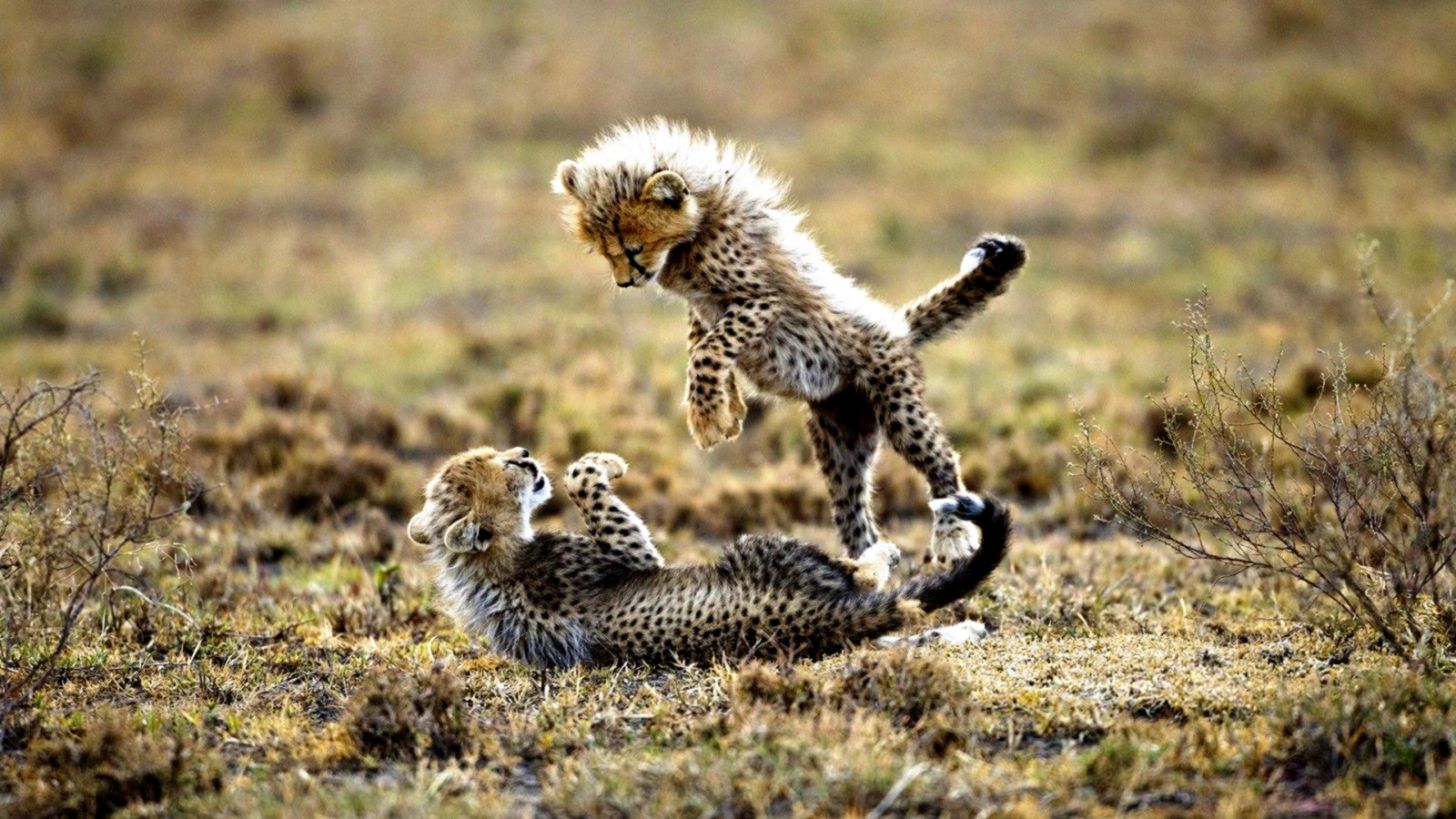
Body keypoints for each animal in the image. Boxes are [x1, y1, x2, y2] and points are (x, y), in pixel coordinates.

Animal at [406, 445, 1011, 668]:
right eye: (505, 467)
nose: (526, 455)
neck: (493, 563)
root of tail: (810, 620)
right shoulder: (633, 557)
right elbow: (584, 483)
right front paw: (605, 464)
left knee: (900, 632)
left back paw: (966, 630)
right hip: (761, 549)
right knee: (866, 584)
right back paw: (879, 552)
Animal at [553, 119, 1027, 569]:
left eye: (632, 248)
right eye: (603, 251)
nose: (624, 281)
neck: (696, 229)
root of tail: (895, 326)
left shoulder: (761, 300)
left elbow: (710, 349)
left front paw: (707, 419)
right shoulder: (705, 307)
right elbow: (701, 341)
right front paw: (728, 409)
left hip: (897, 406)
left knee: (941, 461)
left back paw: (951, 536)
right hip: (842, 442)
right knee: (854, 513)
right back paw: (862, 566)